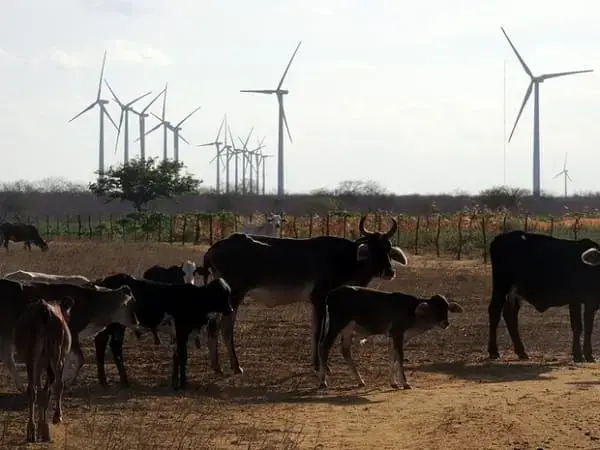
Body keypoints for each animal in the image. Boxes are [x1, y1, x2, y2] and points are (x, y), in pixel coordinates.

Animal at [14, 298, 72, 442]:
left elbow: (41, 390)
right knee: (55, 386)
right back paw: (50, 424)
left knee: (32, 390)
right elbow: (53, 389)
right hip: (56, 354)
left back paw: (32, 430)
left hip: (31, 356)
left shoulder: (40, 365)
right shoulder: (56, 361)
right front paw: (53, 418)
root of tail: (44, 309)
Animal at [95, 272, 233, 388]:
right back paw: (117, 381)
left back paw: (110, 381)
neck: (195, 299)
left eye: (228, 293)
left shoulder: (178, 333)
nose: (230, 310)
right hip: (116, 325)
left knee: (106, 343)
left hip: (114, 326)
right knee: (111, 345)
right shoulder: (182, 330)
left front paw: (175, 383)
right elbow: (183, 356)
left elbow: (176, 355)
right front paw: (184, 384)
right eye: (219, 294)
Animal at [199, 214, 410, 376]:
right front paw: (321, 367)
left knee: (214, 326)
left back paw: (218, 367)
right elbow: (319, 333)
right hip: (234, 296)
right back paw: (234, 366)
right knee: (223, 328)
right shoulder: (320, 299)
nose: (390, 272)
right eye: (374, 248)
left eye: (388, 247)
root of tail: (213, 248)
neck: (345, 258)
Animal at [318, 286, 464, 388]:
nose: (445, 323)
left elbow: (392, 356)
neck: (412, 311)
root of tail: (330, 294)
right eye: (434, 308)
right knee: (324, 346)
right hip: (336, 324)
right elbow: (399, 357)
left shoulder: (395, 336)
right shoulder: (398, 332)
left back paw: (360, 380)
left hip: (348, 330)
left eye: (446, 308)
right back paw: (323, 381)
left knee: (345, 351)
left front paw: (393, 383)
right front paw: (405, 383)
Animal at [490, 232, 600, 362]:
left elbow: (588, 327)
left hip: (515, 291)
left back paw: (521, 352)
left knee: (509, 316)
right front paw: (579, 354)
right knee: (494, 313)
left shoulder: (590, 302)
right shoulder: (575, 300)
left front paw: (587, 355)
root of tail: (499, 238)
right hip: (501, 286)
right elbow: (578, 326)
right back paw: (493, 351)